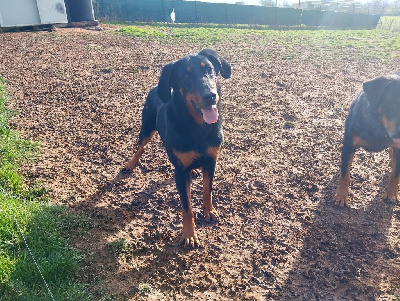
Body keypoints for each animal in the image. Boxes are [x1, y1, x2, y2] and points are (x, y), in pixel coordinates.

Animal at [123, 49, 233, 248]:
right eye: (186, 76)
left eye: (209, 69)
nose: (210, 96)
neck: (198, 127)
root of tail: (155, 87)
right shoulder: (181, 172)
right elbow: (187, 207)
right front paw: (189, 235)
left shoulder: (211, 161)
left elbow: (208, 190)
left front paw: (209, 211)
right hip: (147, 128)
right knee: (140, 147)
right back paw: (130, 164)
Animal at [334, 71, 400, 205]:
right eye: (391, 104)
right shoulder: (348, 143)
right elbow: (344, 171)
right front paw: (341, 195)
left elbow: (396, 173)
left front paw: (392, 193)